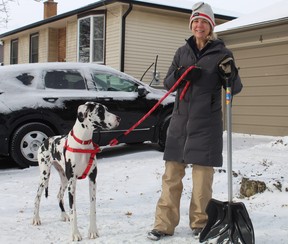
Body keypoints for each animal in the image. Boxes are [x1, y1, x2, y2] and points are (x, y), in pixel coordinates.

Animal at [31, 102, 120, 241]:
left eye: (106, 109)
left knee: (59, 195)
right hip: (45, 176)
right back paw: (36, 218)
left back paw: (63, 215)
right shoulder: (72, 183)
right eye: (100, 111)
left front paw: (93, 231)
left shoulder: (92, 179)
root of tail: (46, 140)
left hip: (64, 179)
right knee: (37, 196)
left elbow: (92, 207)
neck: (83, 143)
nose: (119, 118)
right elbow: (73, 210)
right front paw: (75, 234)